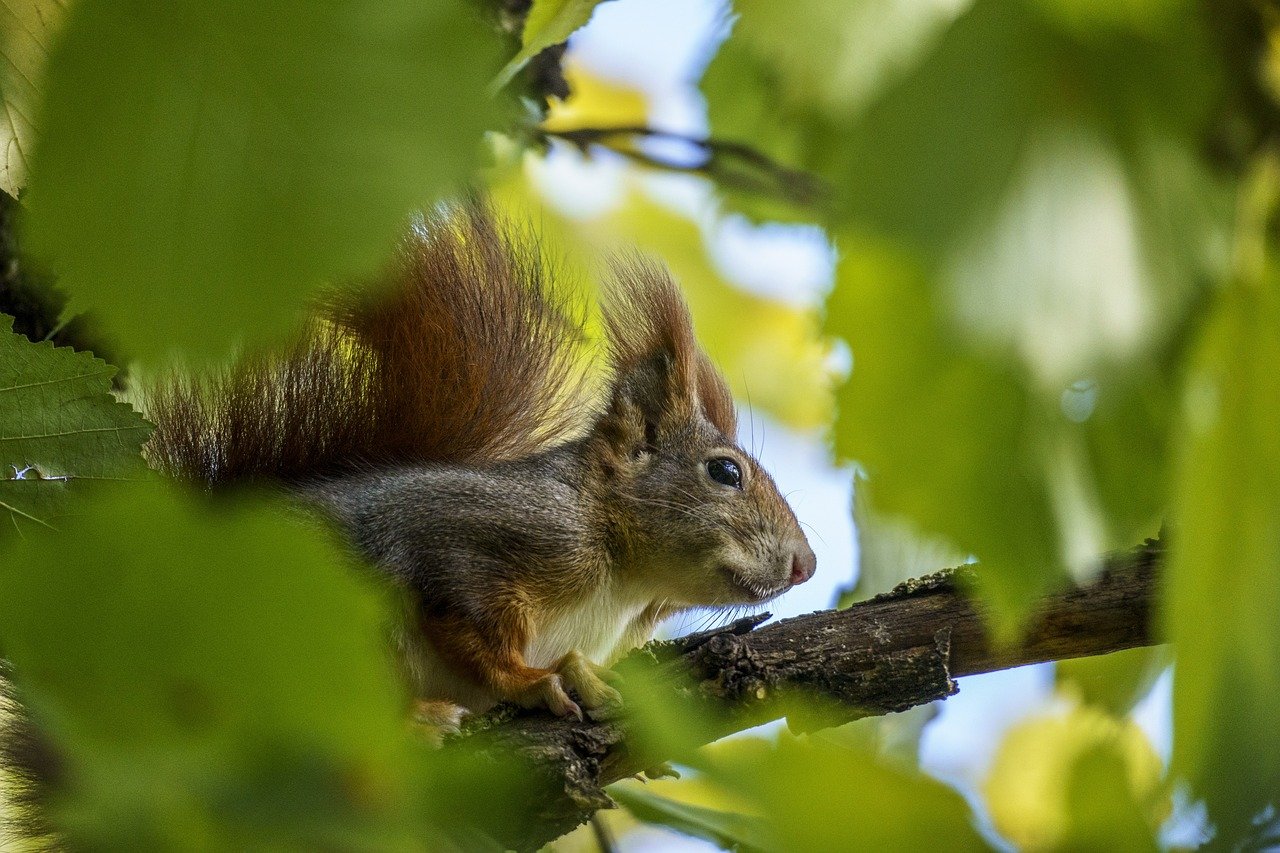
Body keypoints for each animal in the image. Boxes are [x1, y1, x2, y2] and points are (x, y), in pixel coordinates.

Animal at [145, 202, 814, 727]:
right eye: (725, 472)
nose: (806, 565)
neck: (623, 584)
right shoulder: (470, 548)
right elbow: (471, 630)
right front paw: (536, 681)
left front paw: (578, 671)